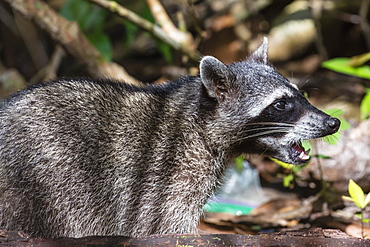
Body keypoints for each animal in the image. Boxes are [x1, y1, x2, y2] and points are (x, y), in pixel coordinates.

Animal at [0, 38, 342, 237]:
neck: (200, 118)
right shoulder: (169, 179)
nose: (334, 122)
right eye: (281, 104)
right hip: (45, 182)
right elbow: (165, 229)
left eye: (300, 95)